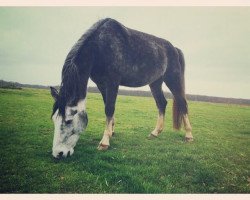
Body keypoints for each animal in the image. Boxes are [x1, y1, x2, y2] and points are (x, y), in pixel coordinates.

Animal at [49, 18, 193, 159]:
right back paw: (155, 132)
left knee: (182, 103)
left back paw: (189, 136)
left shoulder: (112, 82)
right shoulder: (101, 84)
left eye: (68, 121)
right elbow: (107, 106)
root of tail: (174, 49)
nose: (58, 153)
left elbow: (109, 108)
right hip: (155, 83)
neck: (100, 46)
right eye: (54, 119)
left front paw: (104, 142)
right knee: (161, 103)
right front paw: (111, 132)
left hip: (173, 79)